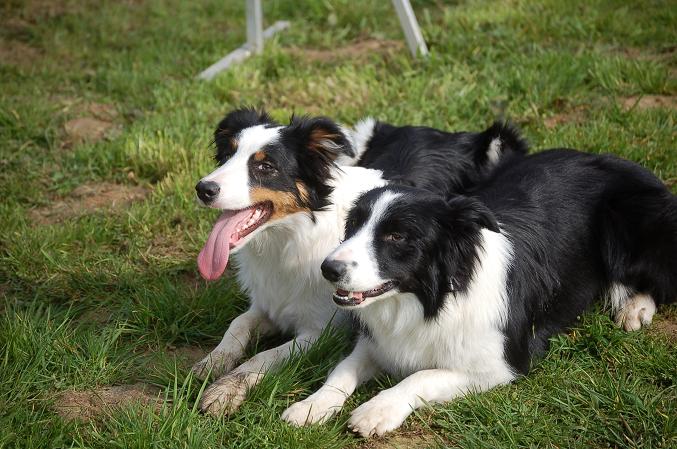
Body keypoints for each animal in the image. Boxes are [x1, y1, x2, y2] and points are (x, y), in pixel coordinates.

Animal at [193, 107, 524, 414]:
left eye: (265, 166)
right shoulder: (267, 303)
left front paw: (226, 390)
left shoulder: (324, 329)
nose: (203, 189)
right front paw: (212, 362)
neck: (293, 236)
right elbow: (238, 324)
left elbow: (266, 355)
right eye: (226, 157)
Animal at [282, 149, 672, 436]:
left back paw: (636, 308)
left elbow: (421, 376)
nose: (327, 269)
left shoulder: (502, 364)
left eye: (397, 236)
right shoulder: (379, 342)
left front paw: (377, 409)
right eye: (353, 226)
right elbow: (341, 370)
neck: (432, 299)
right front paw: (310, 406)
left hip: (630, 223)